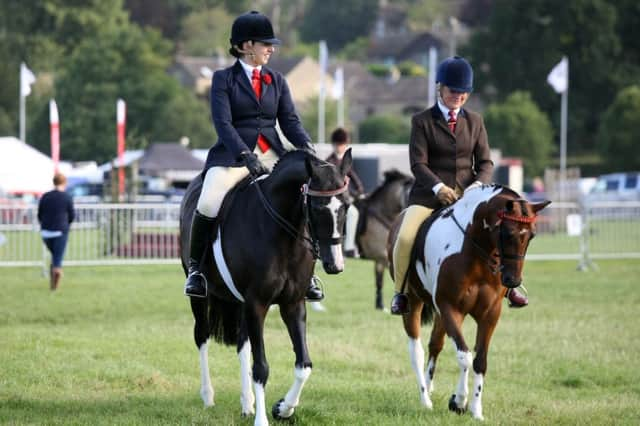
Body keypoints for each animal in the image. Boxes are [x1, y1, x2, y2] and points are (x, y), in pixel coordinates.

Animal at [178, 148, 352, 424]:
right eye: (316, 207)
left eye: (346, 205)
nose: (335, 264)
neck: (283, 233)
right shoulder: (257, 304)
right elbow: (261, 367)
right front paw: (263, 419)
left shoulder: (293, 304)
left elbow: (304, 365)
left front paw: (283, 408)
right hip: (200, 296)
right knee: (202, 336)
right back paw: (208, 397)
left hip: (240, 303)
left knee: (242, 344)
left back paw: (247, 403)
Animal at [388, 185, 552, 422]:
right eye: (507, 233)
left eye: (531, 235)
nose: (513, 281)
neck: (475, 253)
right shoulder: (450, 309)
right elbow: (464, 356)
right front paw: (458, 401)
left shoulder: (490, 314)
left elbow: (480, 361)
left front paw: (476, 410)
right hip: (414, 302)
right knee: (416, 351)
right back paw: (425, 400)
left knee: (435, 345)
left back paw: (430, 387)